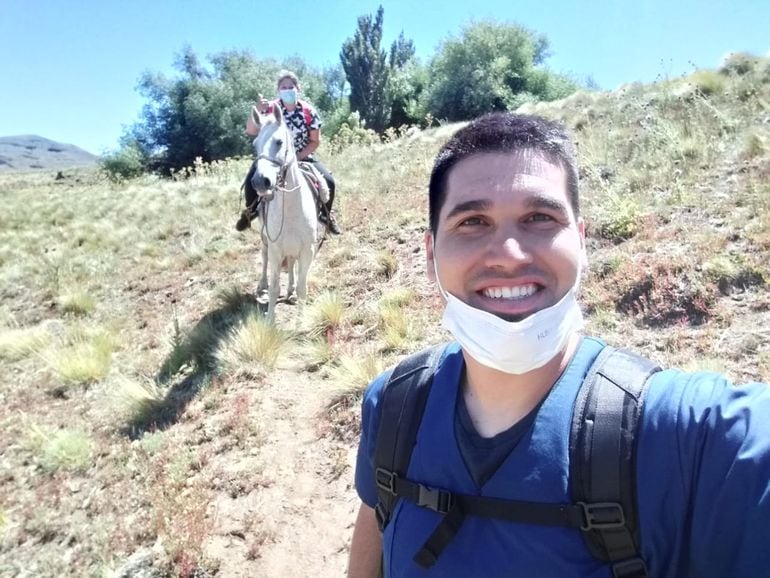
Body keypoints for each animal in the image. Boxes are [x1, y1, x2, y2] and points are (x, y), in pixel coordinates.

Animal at [250, 106, 326, 322]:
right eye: (255, 145)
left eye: (279, 142)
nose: (259, 182)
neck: (292, 210)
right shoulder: (276, 250)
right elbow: (275, 288)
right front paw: (269, 321)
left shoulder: (307, 250)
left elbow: (302, 288)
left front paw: (301, 321)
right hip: (266, 240)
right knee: (264, 256)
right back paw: (261, 286)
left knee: (291, 264)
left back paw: (290, 290)